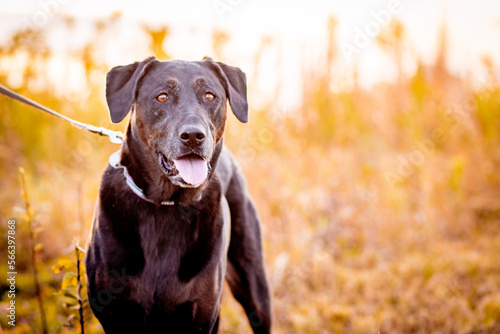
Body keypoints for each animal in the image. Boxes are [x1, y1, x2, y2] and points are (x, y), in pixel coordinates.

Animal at [86, 56, 274, 332]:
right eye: (162, 97)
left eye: (210, 96)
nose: (194, 136)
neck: (164, 204)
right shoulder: (116, 314)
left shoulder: (199, 313)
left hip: (254, 285)